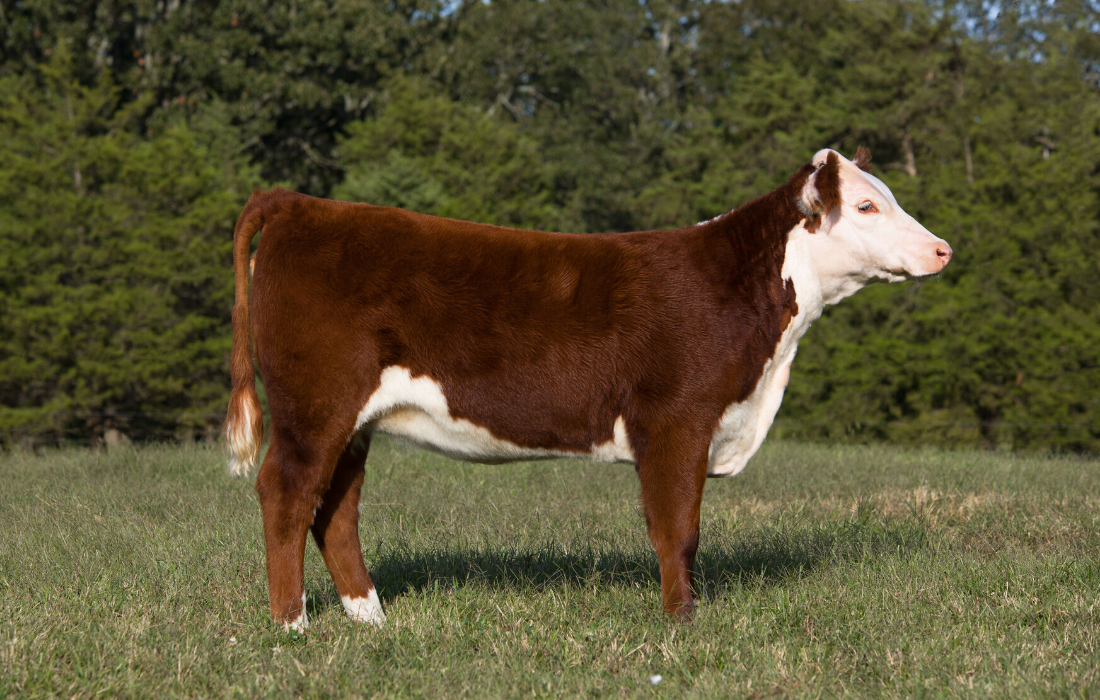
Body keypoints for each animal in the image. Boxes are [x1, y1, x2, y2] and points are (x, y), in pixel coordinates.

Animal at [224, 147, 951, 632]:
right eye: (866, 205)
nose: (942, 249)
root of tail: (300, 203)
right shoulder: (676, 421)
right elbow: (678, 528)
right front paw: (683, 622)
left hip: (352, 421)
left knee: (335, 508)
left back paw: (370, 617)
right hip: (314, 404)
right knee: (287, 494)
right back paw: (292, 625)